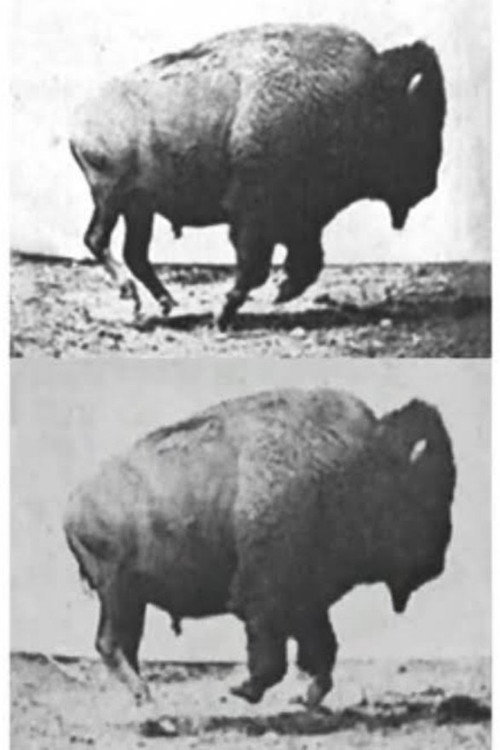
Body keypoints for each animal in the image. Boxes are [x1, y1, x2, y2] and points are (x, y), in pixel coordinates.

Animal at [64, 388, 455, 735]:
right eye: (422, 495)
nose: (436, 564)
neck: (363, 465)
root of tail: (74, 504)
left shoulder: (308, 602)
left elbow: (321, 650)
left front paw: (307, 698)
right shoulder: (268, 601)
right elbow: (274, 658)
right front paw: (242, 689)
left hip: (129, 598)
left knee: (119, 645)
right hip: (120, 592)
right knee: (113, 644)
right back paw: (148, 701)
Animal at [69, 24, 446, 330]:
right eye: (415, 122)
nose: (429, 185)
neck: (364, 97)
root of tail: (80, 122)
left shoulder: (303, 219)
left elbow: (306, 261)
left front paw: (279, 294)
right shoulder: (254, 215)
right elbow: (256, 266)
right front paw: (223, 315)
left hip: (139, 209)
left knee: (134, 252)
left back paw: (167, 303)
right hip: (111, 198)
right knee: (98, 240)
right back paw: (135, 298)